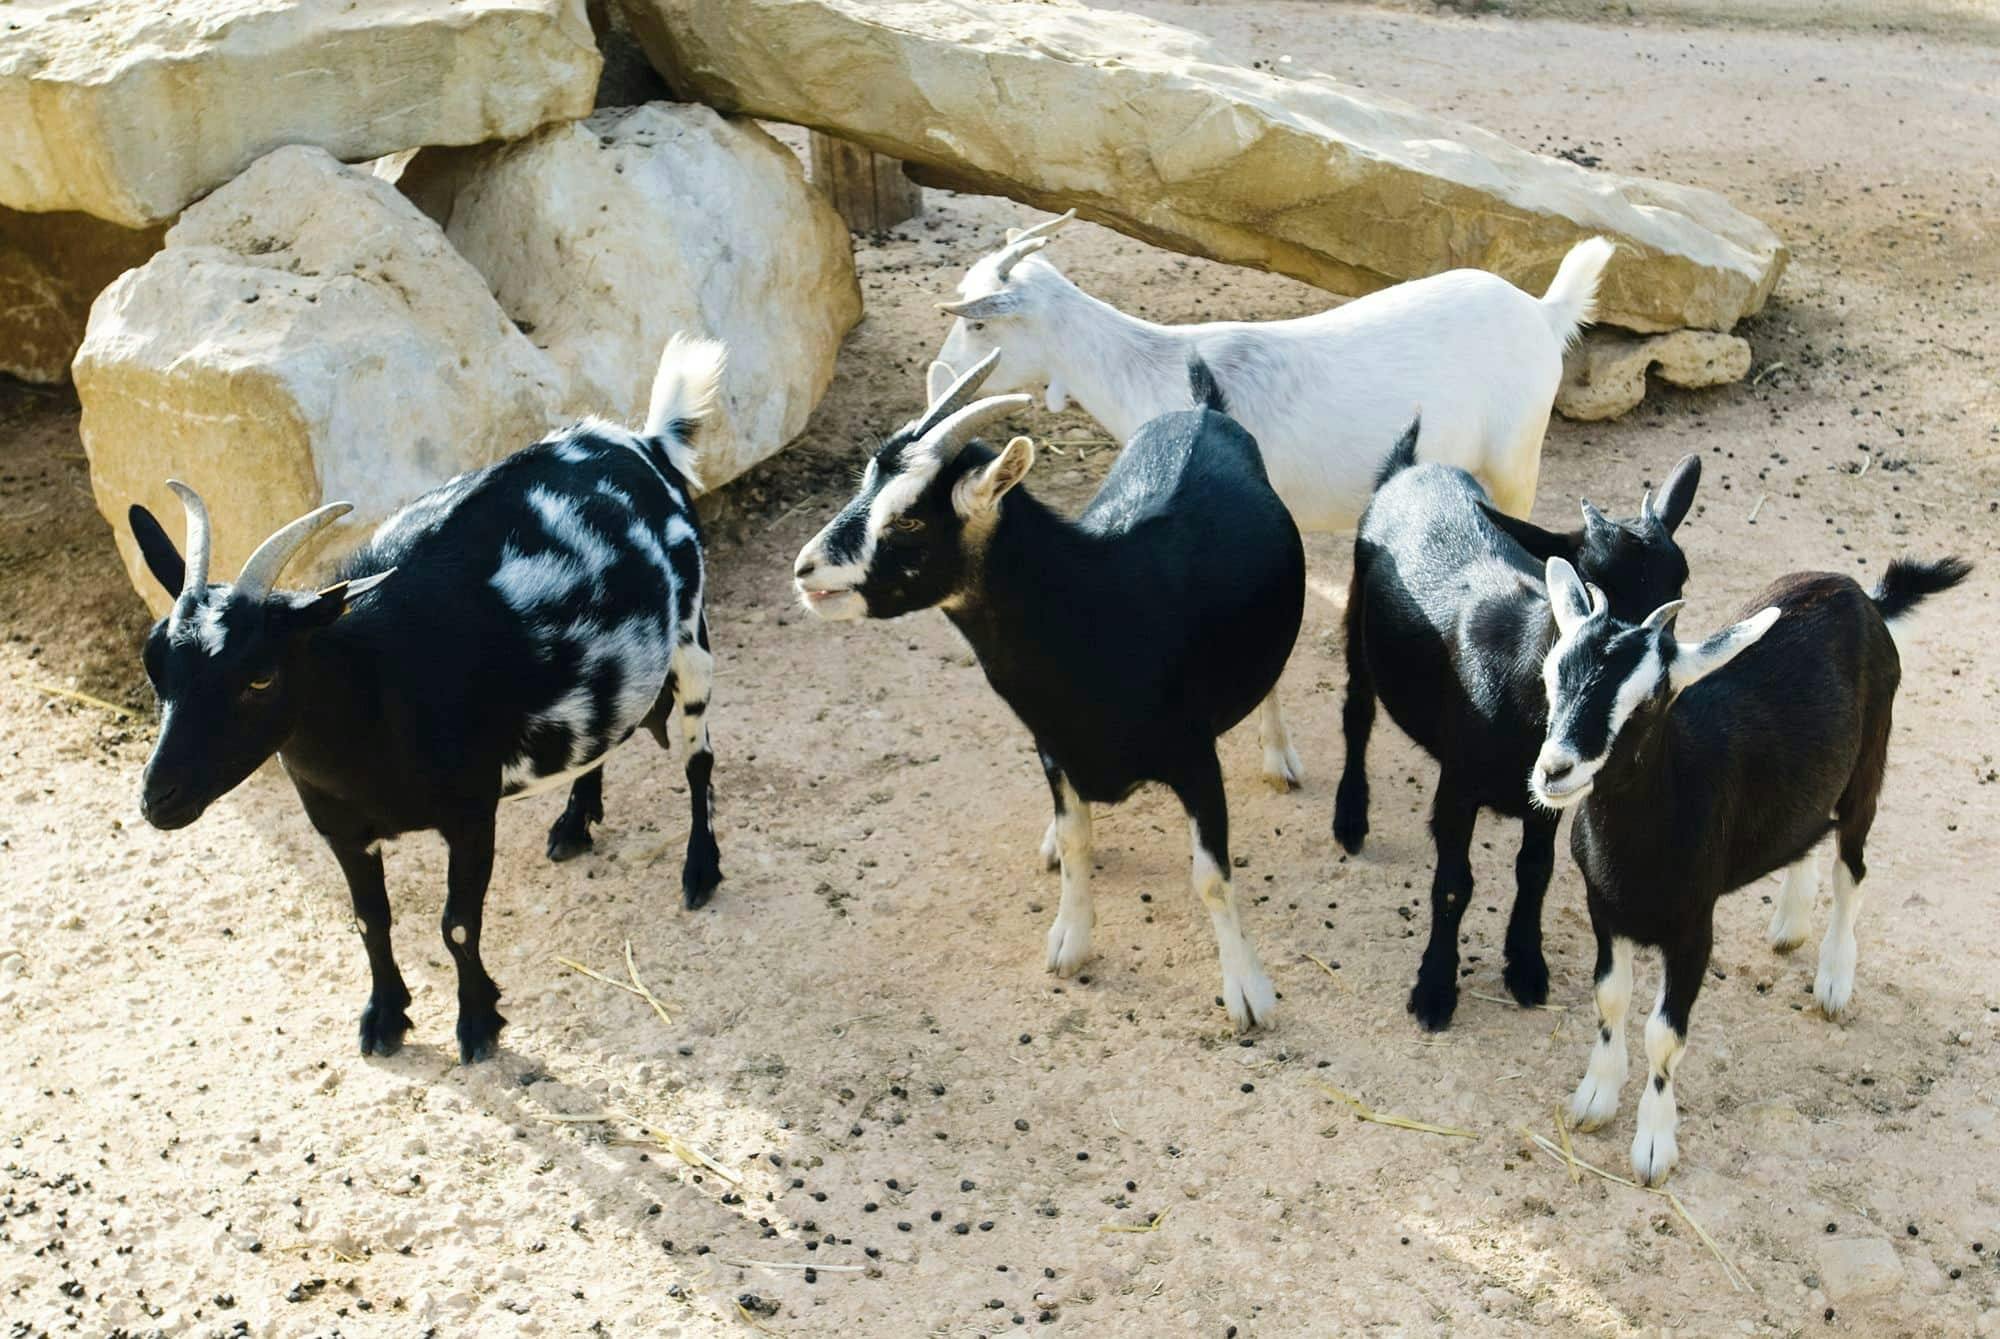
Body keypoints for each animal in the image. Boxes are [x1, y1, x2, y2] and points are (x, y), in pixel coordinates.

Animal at [125, 337, 724, 1071]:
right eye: (154, 663)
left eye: (259, 676)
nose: (158, 798)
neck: (377, 682)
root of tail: (643, 440)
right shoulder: (339, 826)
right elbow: (370, 919)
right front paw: (385, 1017)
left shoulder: (470, 812)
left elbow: (457, 924)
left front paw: (478, 1022)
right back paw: (574, 822)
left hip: (691, 637)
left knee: (698, 759)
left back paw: (700, 869)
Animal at [788, 351, 1304, 1031]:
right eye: (863, 485)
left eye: (909, 518)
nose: (805, 569)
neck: (1096, 609)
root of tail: (1202, 412)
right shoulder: (1053, 747)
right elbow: (1078, 839)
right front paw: (1071, 939)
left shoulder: (1195, 758)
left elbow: (1212, 877)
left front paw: (1249, 990)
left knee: (1269, 682)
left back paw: (1279, 758)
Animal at [944, 214, 1616, 791]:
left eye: (978, 325)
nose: (941, 381)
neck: (1152, 372)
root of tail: (1541, 312)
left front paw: (1278, 761)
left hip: (1515, 463)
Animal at [1336, 435, 1696, 1031]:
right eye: (1588, 584)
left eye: (1679, 584)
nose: (1639, 670)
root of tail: (1411, 467)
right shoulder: (1457, 787)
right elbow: (1454, 886)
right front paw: (1434, 990)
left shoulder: (1548, 795)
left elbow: (1536, 870)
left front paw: (1527, 965)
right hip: (1358, 614)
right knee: (1357, 710)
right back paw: (1350, 818)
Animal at [1528, 547, 1968, 1183]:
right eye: (1551, 678)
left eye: (1648, 703)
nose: (1555, 771)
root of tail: (1860, 594)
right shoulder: (1603, 908)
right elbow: (1609, 999)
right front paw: (1595, 1097)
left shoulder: (1694, 927)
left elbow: (1664, 1035)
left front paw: (1654, 1146)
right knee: (1808, 833)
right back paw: (1789, 925)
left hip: (1870, 765)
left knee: (1852, 869)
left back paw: (1834, 978)